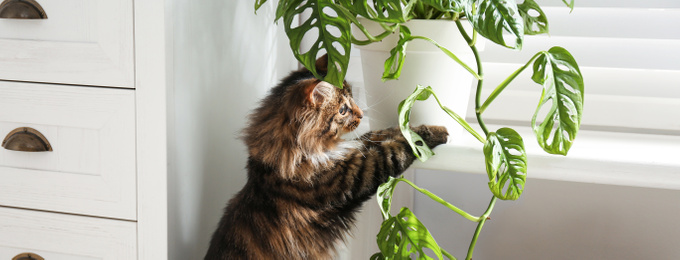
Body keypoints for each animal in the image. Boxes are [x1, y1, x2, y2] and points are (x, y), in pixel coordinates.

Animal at [207, 57, 452, 260]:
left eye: (353, 100)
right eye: (343, 109)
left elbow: (386, 132)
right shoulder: (359, 172)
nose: (361, 114)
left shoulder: (355, 148)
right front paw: (437, 131)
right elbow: (397, 147)